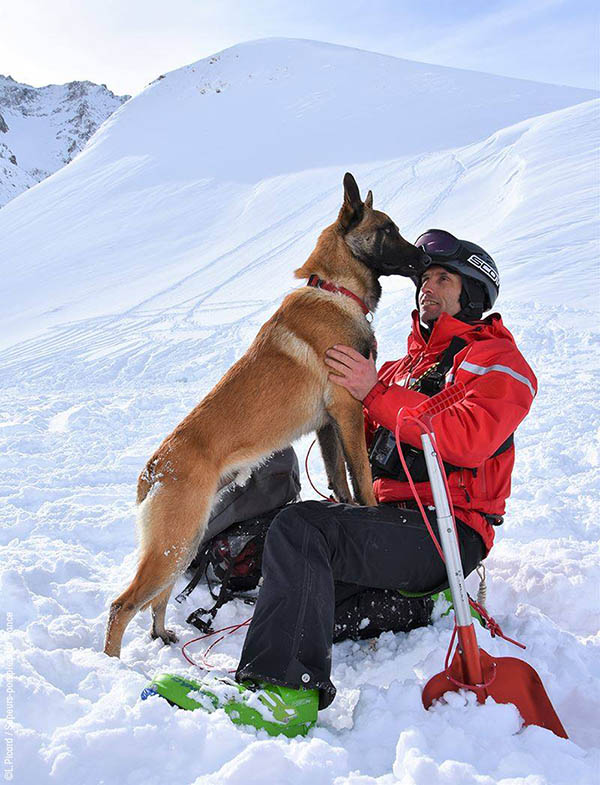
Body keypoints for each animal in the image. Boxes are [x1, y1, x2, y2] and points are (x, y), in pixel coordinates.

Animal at [104, 172, 432, 656]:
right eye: (387, 230)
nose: (425, 257)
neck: (336, 290)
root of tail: (153, 469)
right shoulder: (348, 412)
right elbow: (363, 480)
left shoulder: (328, 426)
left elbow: (341, 483)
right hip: (173, 544)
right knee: (122, 606)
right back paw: (113, 664)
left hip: (183, 542)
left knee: (155, 601)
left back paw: (163, 634)